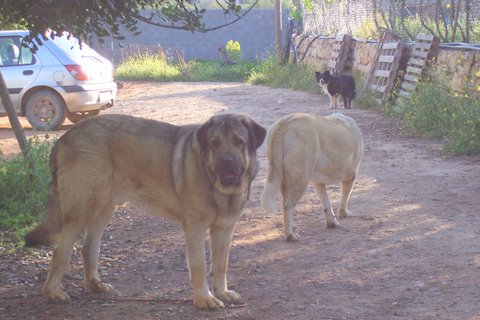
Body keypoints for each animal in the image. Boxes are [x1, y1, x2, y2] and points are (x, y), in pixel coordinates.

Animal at [24, 113, 266, 310]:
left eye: (239, 142)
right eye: (215, 144)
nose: (227, 162)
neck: (215, 183)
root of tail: (63, 138)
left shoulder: (224, 229)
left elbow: (221, 264)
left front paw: (222, 293)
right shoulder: (195, 228)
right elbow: (199, 266)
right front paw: (203, 299)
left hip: (104, 208)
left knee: (88, 248)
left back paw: (95, 285)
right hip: (81, 209)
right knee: (60, 252)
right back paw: (53, 292)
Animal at [260, 112, 362, 240]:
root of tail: (284, 124)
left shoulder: (318, 183)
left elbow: (326, 204)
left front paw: (332, 223)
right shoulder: (351, 177)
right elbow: (345, 198)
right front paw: (344, 213)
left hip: (285, 178)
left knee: (285, 204)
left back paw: (292, 228)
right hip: (301, 180)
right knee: (288, 207)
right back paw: (291, 235)